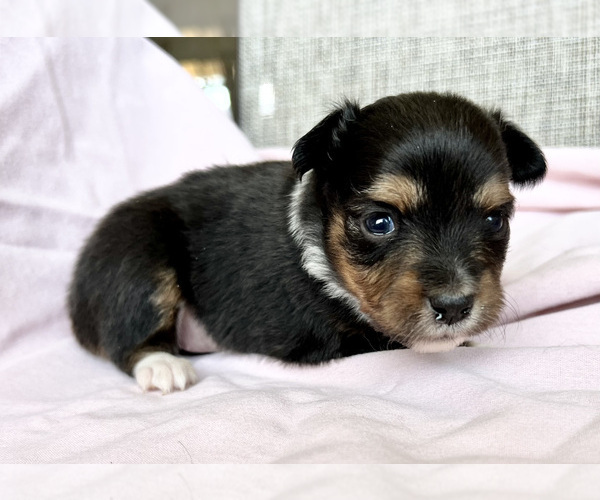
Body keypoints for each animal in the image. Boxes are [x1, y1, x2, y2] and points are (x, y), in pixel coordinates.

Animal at [68, 92, 548, 392]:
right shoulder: (331, 339)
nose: (454, 307)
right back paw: (164, 367)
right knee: (130, 336)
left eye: (494, 219)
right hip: (138, 260)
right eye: (379, 223)